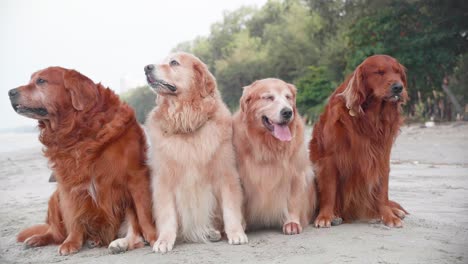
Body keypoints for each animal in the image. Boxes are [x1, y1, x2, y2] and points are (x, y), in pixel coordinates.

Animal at [7, 67, 156, 255]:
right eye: (31, 80)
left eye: (41, 81)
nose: (10, 92)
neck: (78, 129)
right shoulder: (68, 184)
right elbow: (74, 217)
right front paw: (72, 242)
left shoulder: (136, 176)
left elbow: (144, 215)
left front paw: (154, 236)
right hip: (55, 198)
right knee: (55, 232)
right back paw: (39, 239)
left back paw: (116, 243)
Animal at [145, 52, 249, 253]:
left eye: (174, 62)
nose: (146, 67)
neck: (186, 123)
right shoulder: (163, 180)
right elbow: (167, 215)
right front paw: (164, 240)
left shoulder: (226, 173)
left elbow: (230, 209)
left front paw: (236, 233)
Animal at [233, 79, 316, 235]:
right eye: (268, 97)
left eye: (288, 97)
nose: (287, 112)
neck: (269, 146)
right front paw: (240, 225)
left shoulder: (297, 173)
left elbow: (293, 200)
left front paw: (292, 222)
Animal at [310, 54, 410, 228]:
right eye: (380, 72)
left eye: (398, 73)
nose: (399, 87)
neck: (369, 117)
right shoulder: (329, 159)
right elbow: (329, 191)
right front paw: (325, 216)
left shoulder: (381, 156)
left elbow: (382, 191)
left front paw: (388, 216)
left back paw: (394, 211)